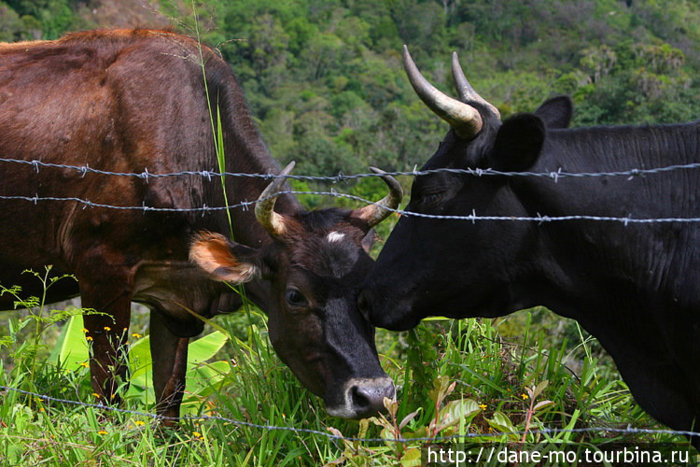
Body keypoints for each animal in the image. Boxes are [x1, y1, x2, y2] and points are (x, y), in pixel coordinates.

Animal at [0, 31, 396, 422]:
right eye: (294, 296)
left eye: (368, 291)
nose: (374, 394)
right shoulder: (101, 272)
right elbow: (109, 397)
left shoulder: (175, 302)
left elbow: (169, 400)